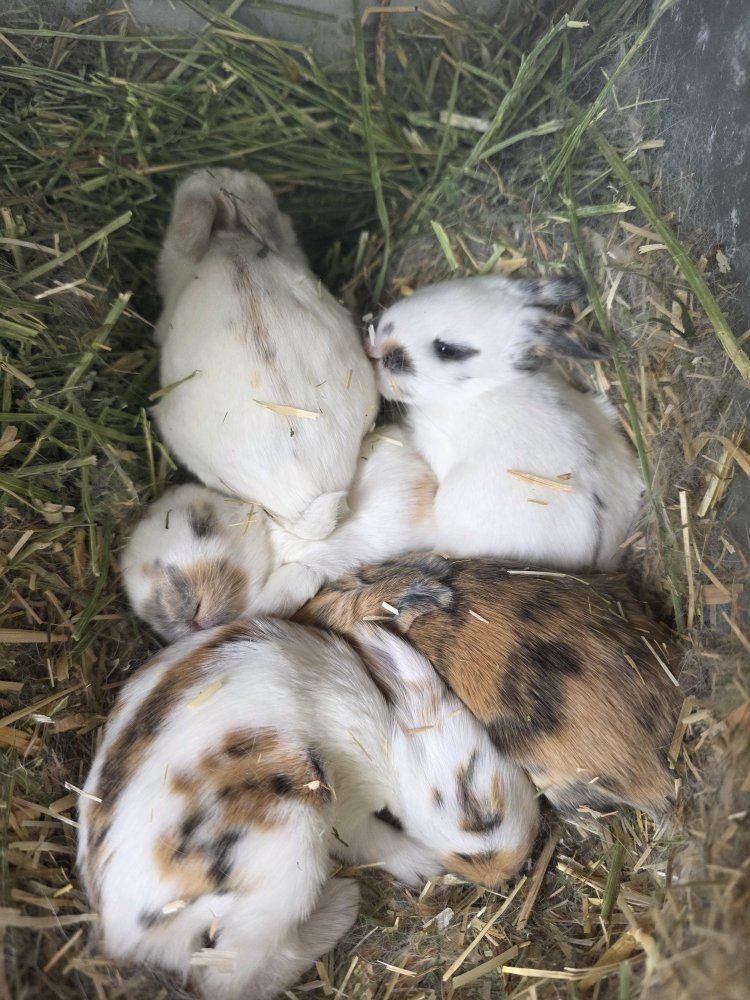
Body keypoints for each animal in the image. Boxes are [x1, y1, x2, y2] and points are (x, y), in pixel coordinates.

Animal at [78, 617, 539, 998]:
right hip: (285, 864)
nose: (506, 871)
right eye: (476, 806)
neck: (389, 742)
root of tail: (128, 934)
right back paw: (342, 904)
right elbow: (372, 840)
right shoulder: (348, 805)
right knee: (233, 977)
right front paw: (422, 866)